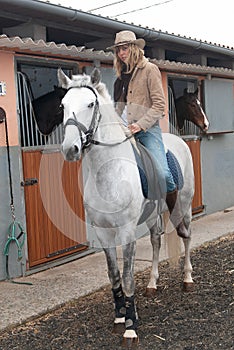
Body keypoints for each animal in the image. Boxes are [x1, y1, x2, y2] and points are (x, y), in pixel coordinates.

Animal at [57, 67, 195, 348]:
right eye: (63, 105)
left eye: (90, 104)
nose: (70, 149)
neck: (109, 172)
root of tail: (179, 142)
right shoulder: (103, 232)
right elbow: (114, 274)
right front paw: (120, 315)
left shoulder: (127, 231)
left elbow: (129, 276)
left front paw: (131, 328)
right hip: (154, 215)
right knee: (156, 241)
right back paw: (152, 284)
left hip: (183, 206)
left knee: (186, 236)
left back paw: (187, 278)